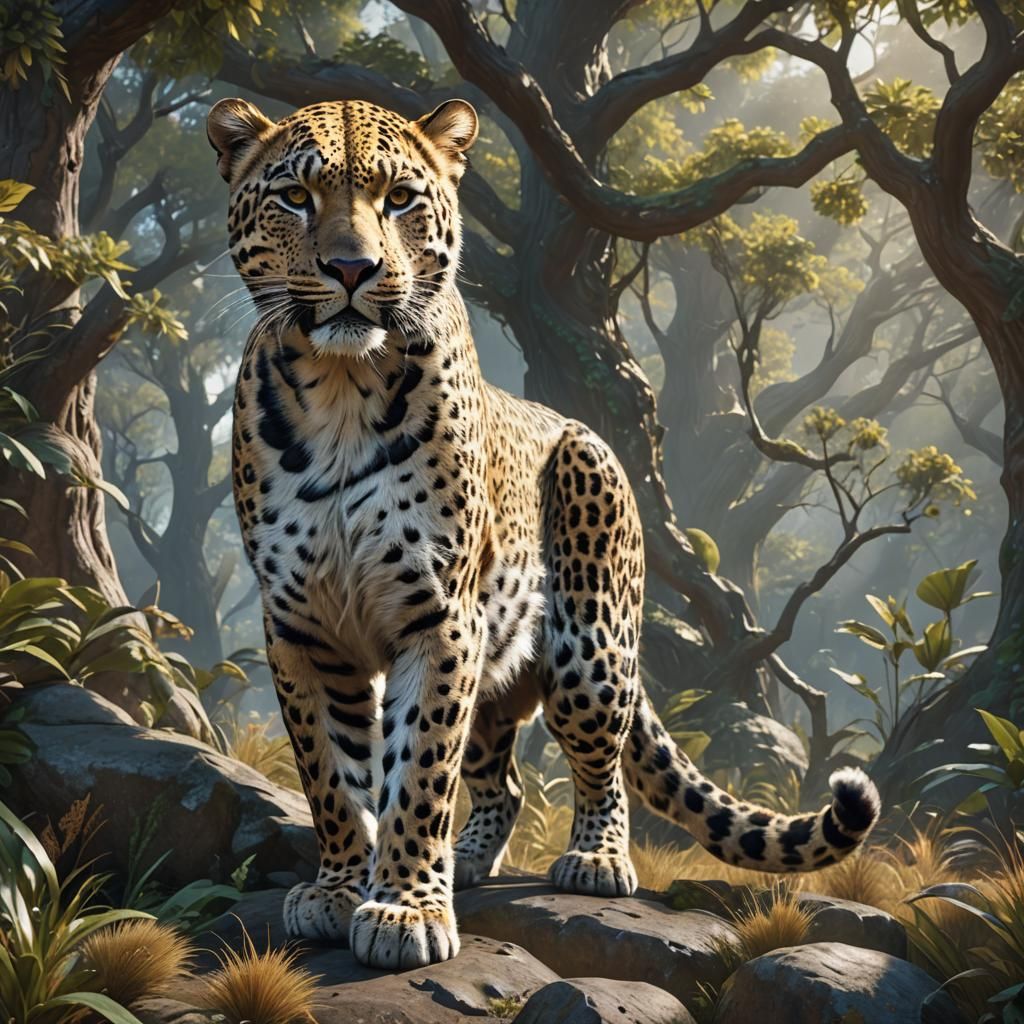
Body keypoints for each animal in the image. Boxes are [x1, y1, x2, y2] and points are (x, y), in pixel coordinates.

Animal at [208, 95, 881, 972]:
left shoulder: (437, 618)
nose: (352, 268)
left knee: (601, 769)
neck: (343, 388)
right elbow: (332, 776)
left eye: (399, 199)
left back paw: (593, 860)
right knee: (504, 780)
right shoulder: (301, 627)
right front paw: (339, 888)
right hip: (500, 671)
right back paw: (465, 859)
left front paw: (404, 910)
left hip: (589, 652)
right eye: (295, 197)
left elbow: (418, 771)